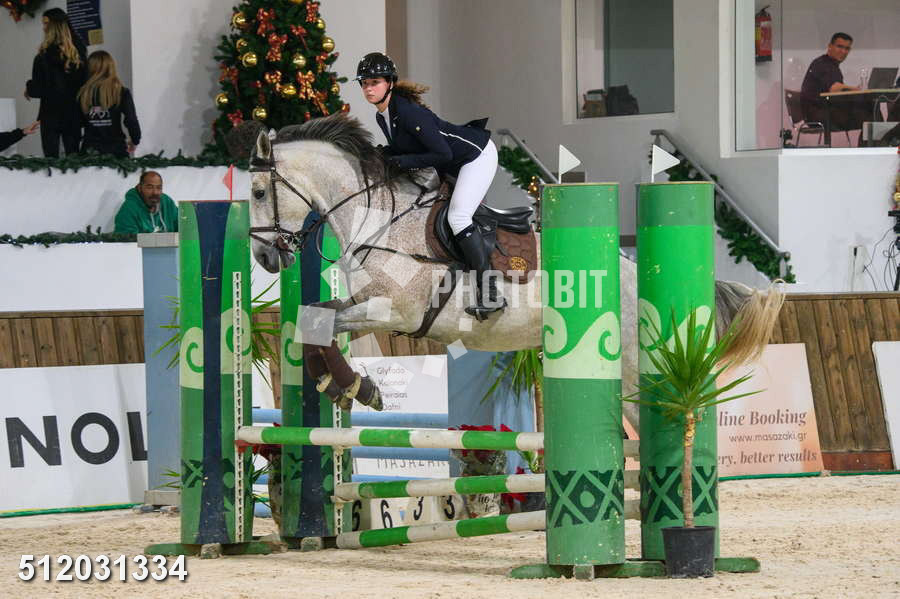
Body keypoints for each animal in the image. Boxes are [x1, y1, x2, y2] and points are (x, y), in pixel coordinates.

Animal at [247, 114, 783, 426]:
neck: (376, 216)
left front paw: (360, 387)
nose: (266, 259)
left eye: (256, 191)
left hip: (636, 363)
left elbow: (324, 320)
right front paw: (342, 386)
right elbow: (314, 318)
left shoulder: (393, 311)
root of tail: (636, 273)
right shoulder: (368, 308)